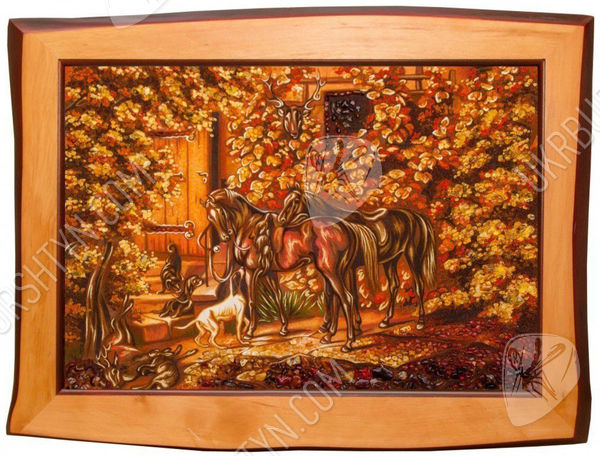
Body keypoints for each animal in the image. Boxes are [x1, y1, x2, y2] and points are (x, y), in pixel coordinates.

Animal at [201, 188, 379, 352]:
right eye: (209, 217)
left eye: (220, 213)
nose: (224, 237)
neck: (250, 227)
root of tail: (345, 226)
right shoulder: (270, 272)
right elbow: (278, 296)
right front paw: (284, 328)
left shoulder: (250, 271)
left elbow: (252, 300)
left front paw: (250, 332)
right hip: (335, 272)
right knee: (337, 298)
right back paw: (330, 336)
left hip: (331, 272)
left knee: (346, 299)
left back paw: (347, 343)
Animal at [277, 188, 437, 330]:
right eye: (285, 201)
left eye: (295, 201)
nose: (281, 220)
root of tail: (417, 217)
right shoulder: (347, 269)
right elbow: (343, 293)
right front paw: (353, 325)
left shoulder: (345, 269)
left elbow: (346, 294)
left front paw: (350, 326)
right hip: (390, 260)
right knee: (394, 285)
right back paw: (385, 321)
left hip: (412, 256)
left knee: (419, 285)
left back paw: (420, 321)